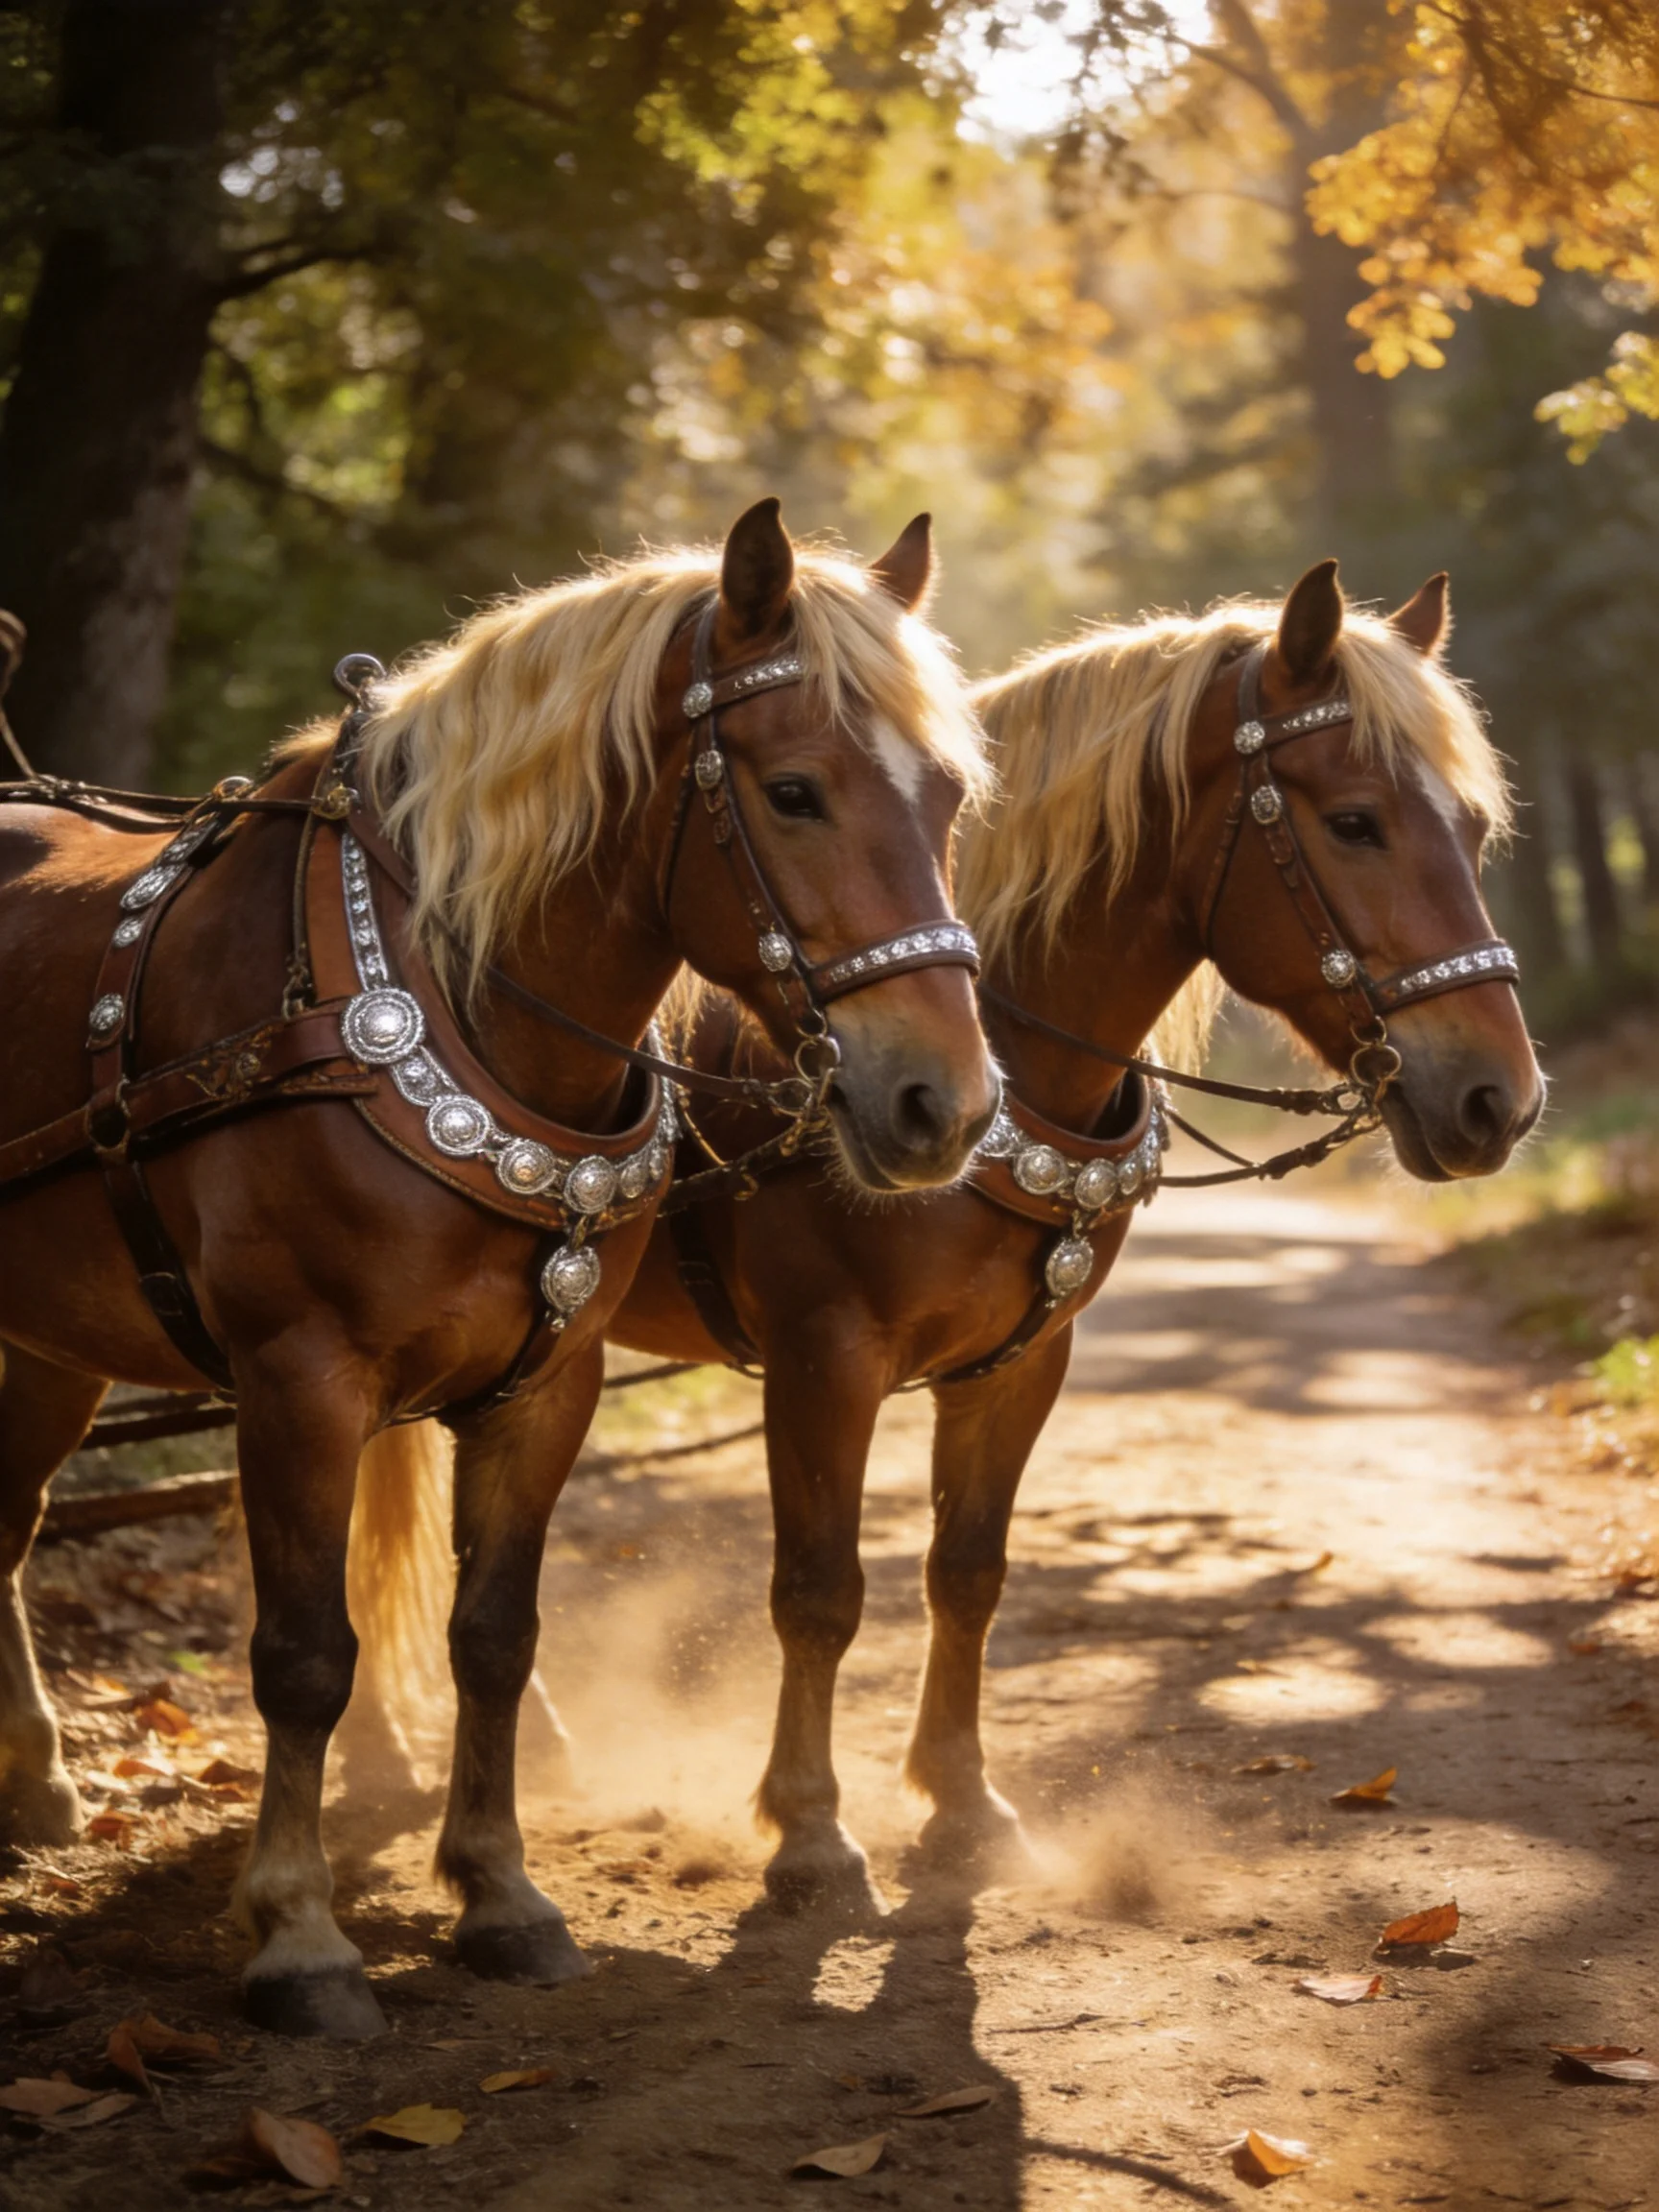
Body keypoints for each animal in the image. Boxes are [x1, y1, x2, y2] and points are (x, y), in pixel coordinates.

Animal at [0, 497, 1001, 2035]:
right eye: (792, 793)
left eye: (947, 797)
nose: (943, 1104)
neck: (438, 1009)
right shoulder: (298, 1382)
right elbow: (306, 1657)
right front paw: (298, 1937)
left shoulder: (546, 1384)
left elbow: (493, 1634)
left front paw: (500, 1895)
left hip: (50, 1347)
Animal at [595, 559, 1545, 1913]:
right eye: (1358, 821)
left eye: (1469, 829)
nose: (1499, 1101)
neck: (996, 1063)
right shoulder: (824, 1360)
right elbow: (821, 1592)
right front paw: (813, 1831)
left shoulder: (1019, 1365)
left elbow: (968, 1574)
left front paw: (964, 1806)